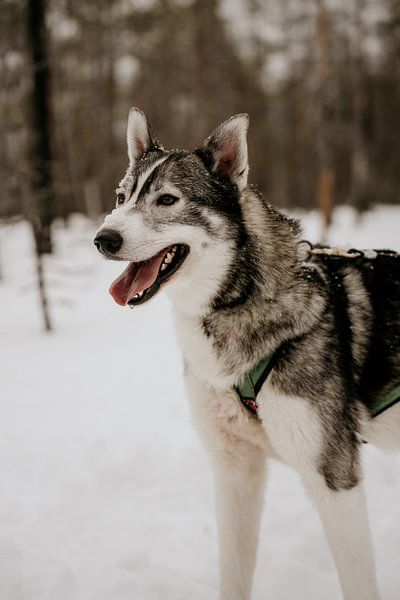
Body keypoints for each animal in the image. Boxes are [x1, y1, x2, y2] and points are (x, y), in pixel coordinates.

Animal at [95, 108, 398, 600]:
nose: (104, 238)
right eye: (122, 197)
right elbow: (234, 571)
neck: (237, 303)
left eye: (167, 200)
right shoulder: (235, 471)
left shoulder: (335, 480)